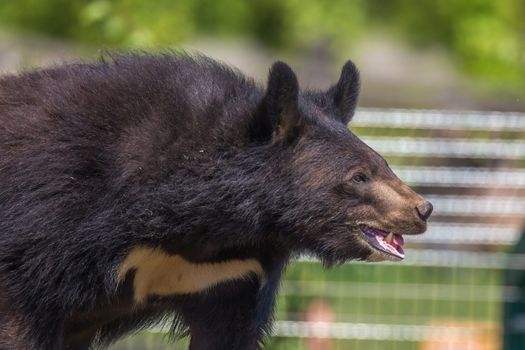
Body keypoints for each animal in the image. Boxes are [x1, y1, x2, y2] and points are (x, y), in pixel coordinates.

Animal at [0, 53, 432, 348]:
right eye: (358, 176)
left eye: (383, 162)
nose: (422, 209)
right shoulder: (46, 223)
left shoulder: (229, 273)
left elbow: (228, 331)